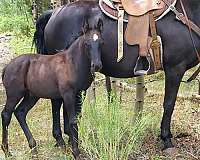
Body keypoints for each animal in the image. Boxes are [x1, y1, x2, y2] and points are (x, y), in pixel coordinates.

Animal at [33, 0, 199, 155]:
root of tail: (54, 14)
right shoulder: (175, 68)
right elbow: (169, 104)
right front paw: (166, 140)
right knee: (56, 102)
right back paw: (61, 139)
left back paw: (64, 138)